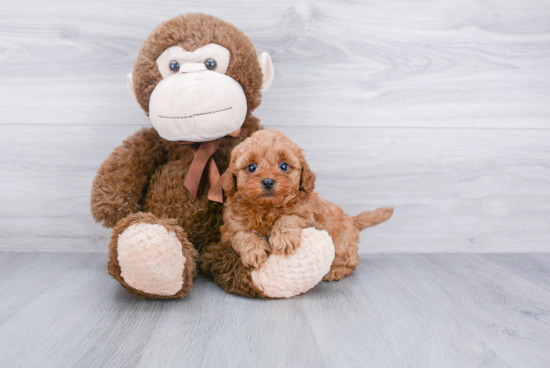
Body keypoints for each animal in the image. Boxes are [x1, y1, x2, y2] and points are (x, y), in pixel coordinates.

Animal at [219, 129, 392, 278]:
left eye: (283, 166)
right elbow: (241, 235)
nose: (268, 182)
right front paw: (254, 251)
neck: (267, 209)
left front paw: (284, 238)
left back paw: (336, 271)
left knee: (353, 261)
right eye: (251, 167)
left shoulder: (307, 215)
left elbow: (288, 217)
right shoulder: (230, 227)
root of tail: (352, 220)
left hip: (341, 246)